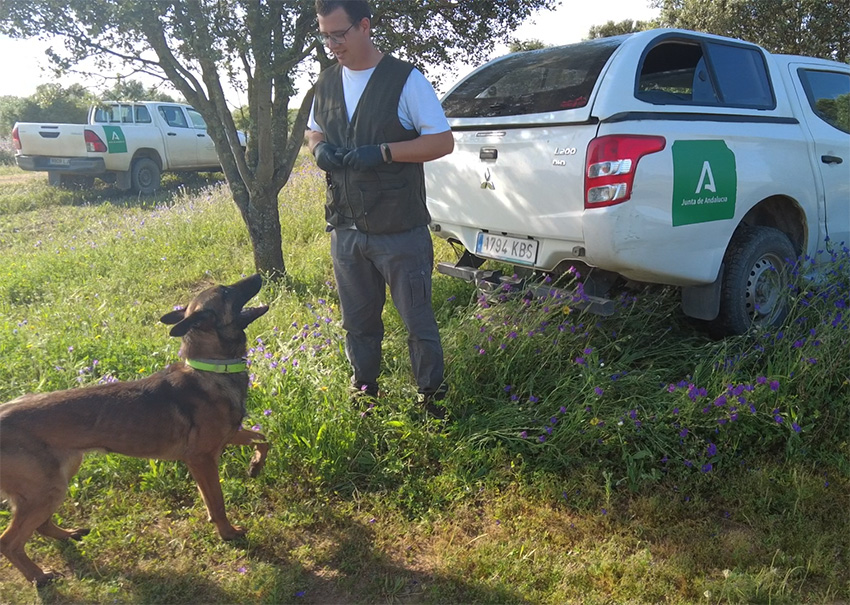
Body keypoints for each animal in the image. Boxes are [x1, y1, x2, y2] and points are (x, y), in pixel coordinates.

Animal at [0, 274, 268, 584]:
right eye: (225, 291)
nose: (259, 276)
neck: (210, 369)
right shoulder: (201, 459)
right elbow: (217, 502)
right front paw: (228, 533)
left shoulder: (228, 437)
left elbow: (263, 439)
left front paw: (255, 466)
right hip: (46, 489)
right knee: (9, 541)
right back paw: (39, 576)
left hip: (58, 477)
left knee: (40, 525)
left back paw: (68, 535)